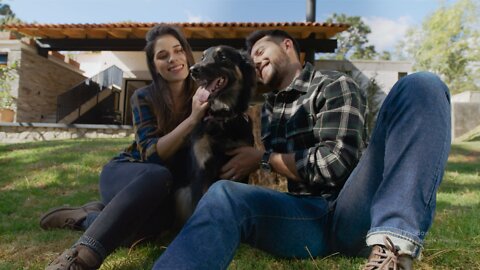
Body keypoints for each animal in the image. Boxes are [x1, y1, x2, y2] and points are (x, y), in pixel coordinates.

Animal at [174, 46, 256, 224]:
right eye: (202, 57)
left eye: (223, 57)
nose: (193, 70)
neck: (222, 116)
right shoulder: (201, 170)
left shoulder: (241, 168)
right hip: (182, 194)